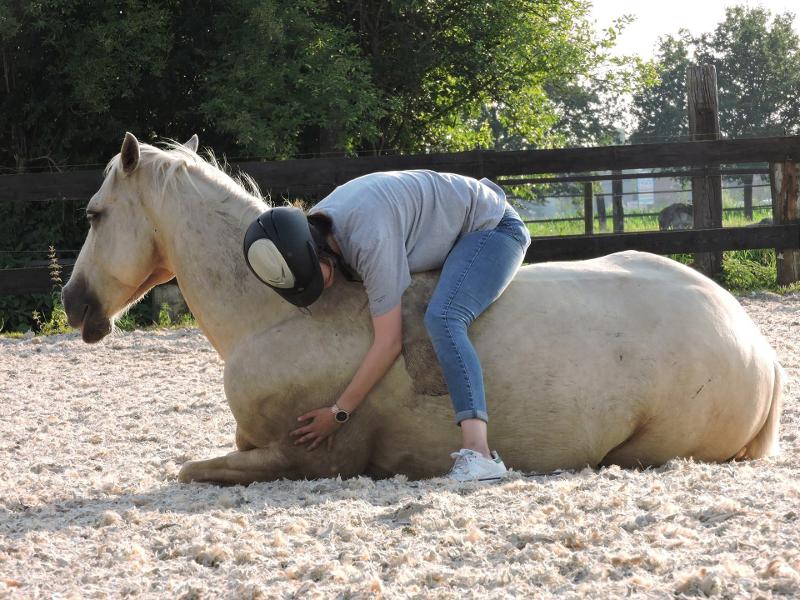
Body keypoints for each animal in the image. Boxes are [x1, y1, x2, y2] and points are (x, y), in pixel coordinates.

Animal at [61, 134, 780, 486]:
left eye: (94, 215)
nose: (72, 304)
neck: (284, 317)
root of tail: (759, 349)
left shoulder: (306, 459)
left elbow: (191, 469)